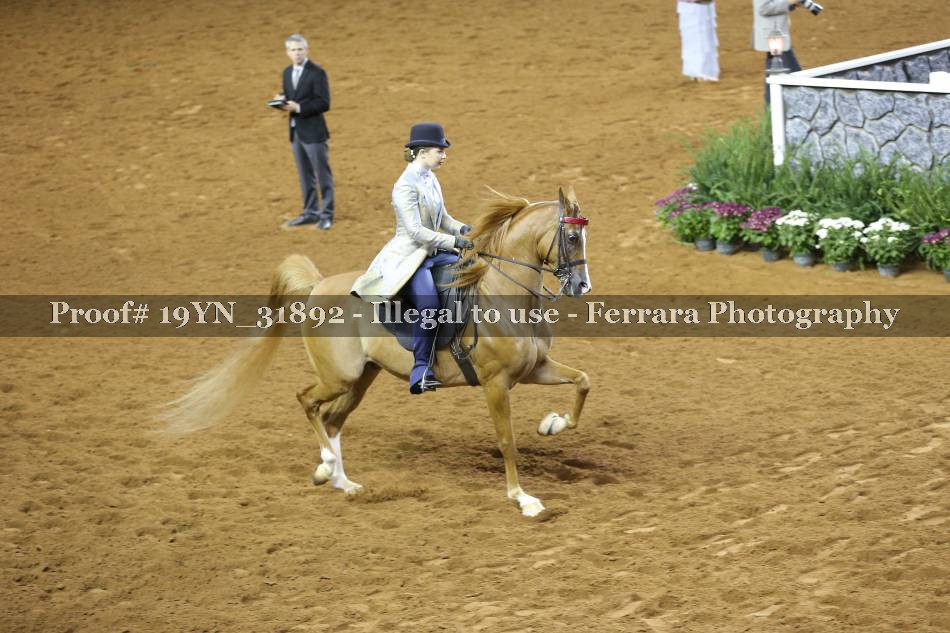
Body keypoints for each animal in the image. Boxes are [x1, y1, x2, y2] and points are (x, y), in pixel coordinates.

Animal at [163, 186, 592, 517]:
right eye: (572, 238)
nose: (582, 286)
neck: (502, 296)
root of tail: (318, 286)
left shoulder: (535, 368)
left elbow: (583, 381)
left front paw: (551, 424)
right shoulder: (495, 382)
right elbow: (507, 440)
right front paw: (523, 499)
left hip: (362, 377)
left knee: (332, 419)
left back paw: (341, 482)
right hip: (340, 377)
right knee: (307, 401)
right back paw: (327, 468)